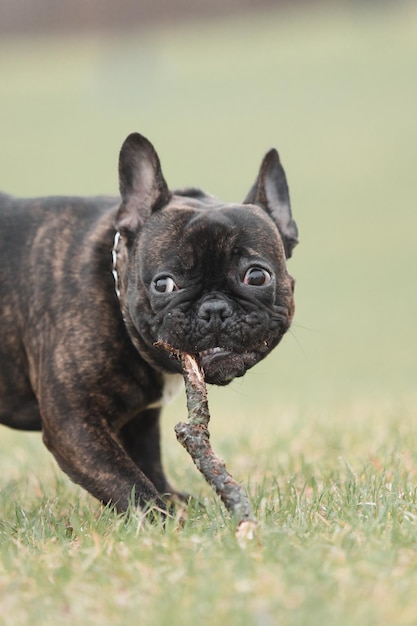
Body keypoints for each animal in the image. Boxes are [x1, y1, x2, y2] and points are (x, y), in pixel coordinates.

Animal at [0, 132, 300, 512]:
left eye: (257, 276)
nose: (214, 309)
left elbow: (148, 461)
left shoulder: (141, 420)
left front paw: (177, 502)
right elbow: (125, 481)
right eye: (164, 284)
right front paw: (160, 516)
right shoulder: (73, 423)